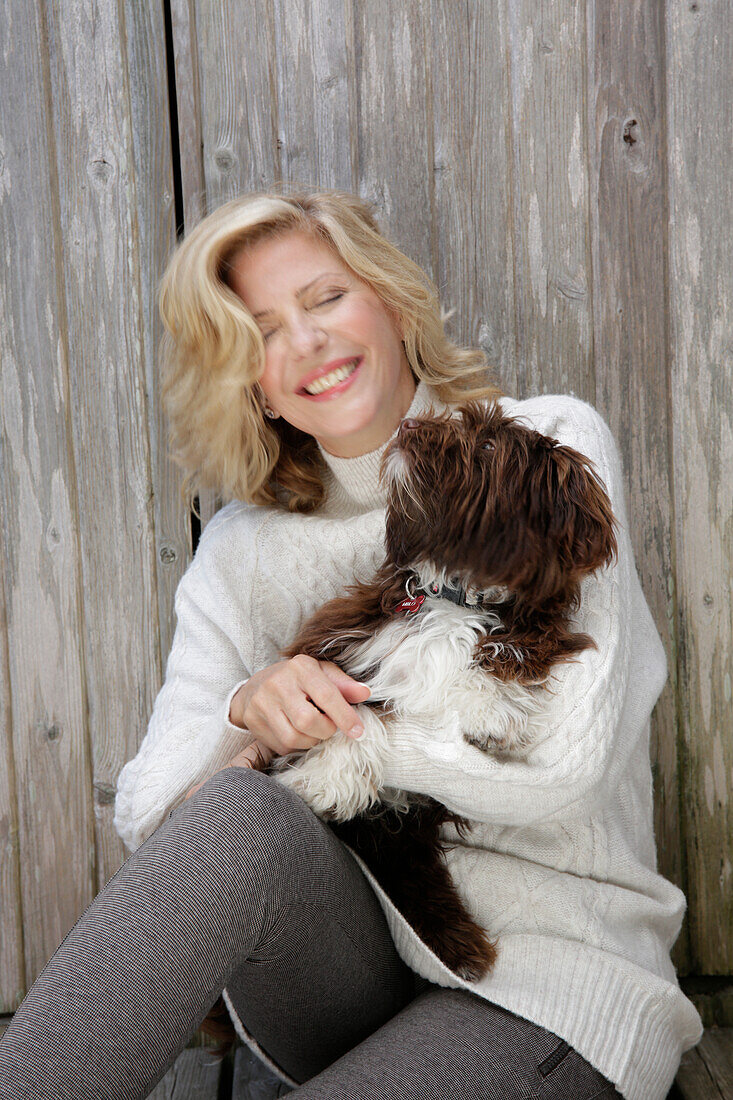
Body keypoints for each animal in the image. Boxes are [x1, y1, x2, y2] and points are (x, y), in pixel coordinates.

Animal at [265, 402, 611, 981]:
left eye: (489, 446)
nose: (407, 427)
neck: (454, 594)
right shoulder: (336, 658)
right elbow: (360, 714)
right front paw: (326, 778)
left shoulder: (539, 630)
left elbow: (507, 654)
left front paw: (489, 710)